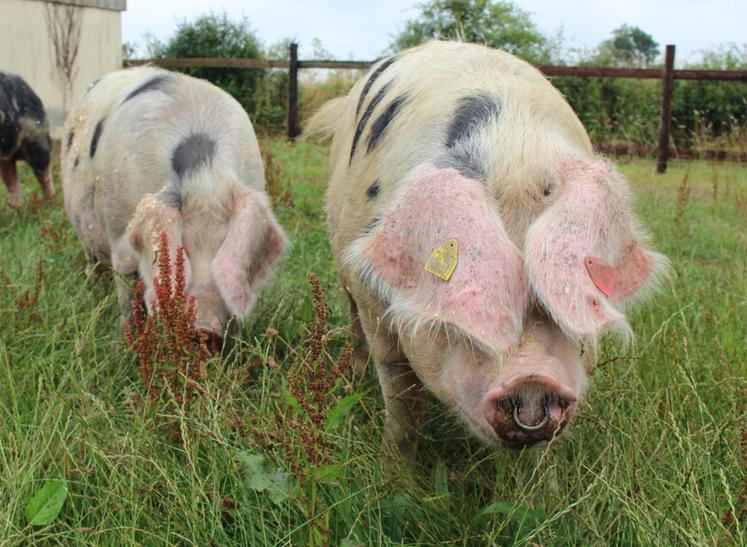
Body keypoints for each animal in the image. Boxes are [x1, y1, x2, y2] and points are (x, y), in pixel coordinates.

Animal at [0, 72, 55, 208]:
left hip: (39, 137)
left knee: (43, 170)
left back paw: (50, 203)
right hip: (6, 159)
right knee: (10, 176)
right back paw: (16, 207)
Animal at [62, 67, 287, 345]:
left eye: (224, 243)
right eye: (183, 248)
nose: (204, 328)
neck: (205, 176)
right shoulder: (120, 238)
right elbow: (128, 298)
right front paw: (125, 343)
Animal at [305, 41, 669, 459]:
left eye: (565, 294)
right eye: (471, 295)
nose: (532, 380)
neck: (515, 151)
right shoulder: (370, 296)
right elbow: (401, 389)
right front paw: (395, 466)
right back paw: (354, 378)